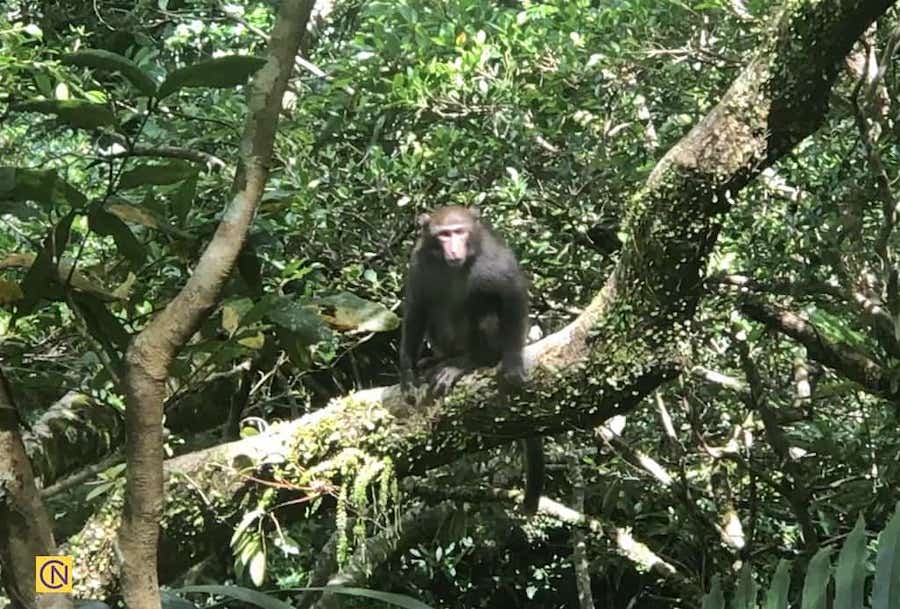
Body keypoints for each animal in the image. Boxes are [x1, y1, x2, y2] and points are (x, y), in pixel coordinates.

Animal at [400, 204, 540, 512]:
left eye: (459, 232)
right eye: (443, 235)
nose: (453, 249)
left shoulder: (494, 261)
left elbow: (512, 295)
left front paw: (513, 363)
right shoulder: (419, 263)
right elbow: (417, 308)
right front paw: (407, 375)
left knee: (484, 305)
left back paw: (470, 361)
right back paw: (441, 360)